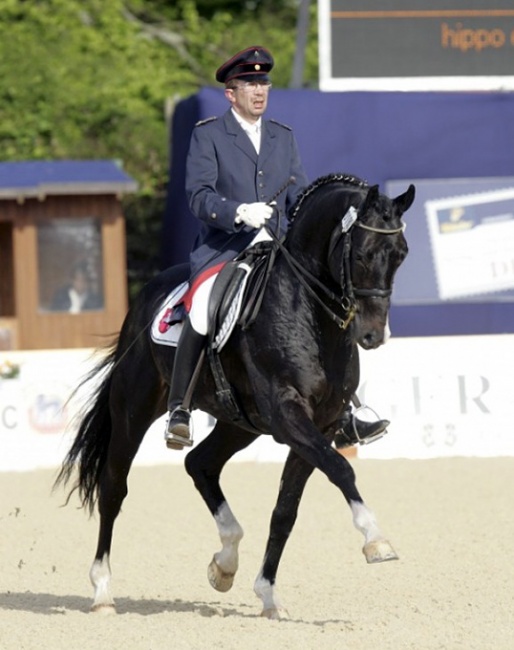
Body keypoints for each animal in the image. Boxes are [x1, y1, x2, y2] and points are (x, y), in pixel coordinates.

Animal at [56, 172, 414, 616]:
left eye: (401, 254)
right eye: (362, 254)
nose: (373, 335)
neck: (310, 315)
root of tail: (147, 295)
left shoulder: (322, 425)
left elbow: (286, 510)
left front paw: (268, 594)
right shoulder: (288, 415)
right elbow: (341, 469)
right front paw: (376, 540)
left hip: (239, 424)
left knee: (199, 464)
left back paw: (225, 562)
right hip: (133, 411)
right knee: (113, 487)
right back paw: (103, 591)